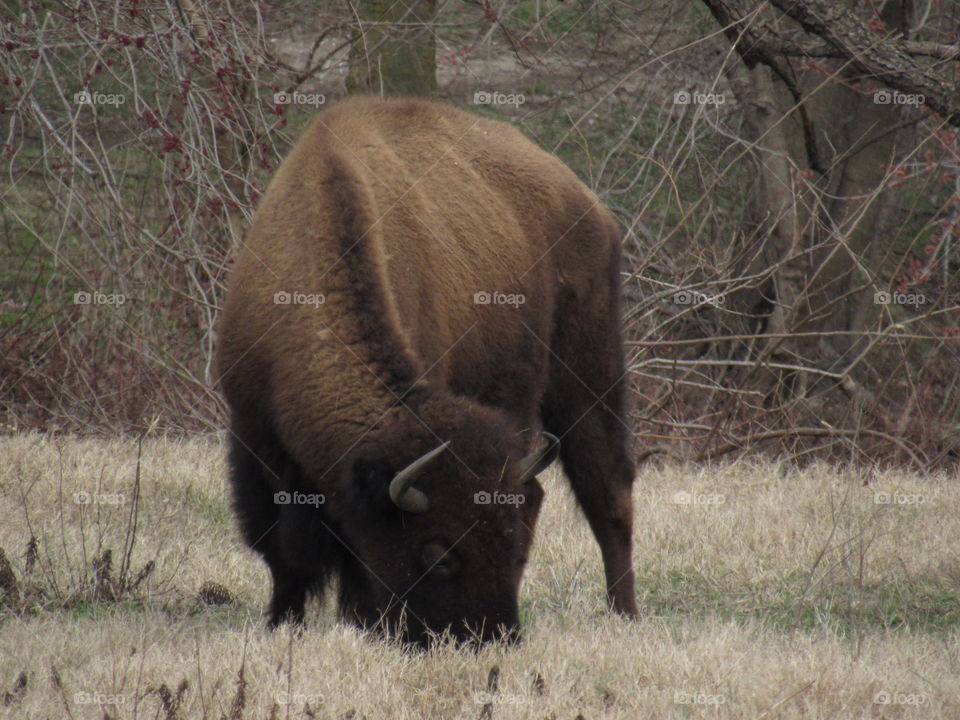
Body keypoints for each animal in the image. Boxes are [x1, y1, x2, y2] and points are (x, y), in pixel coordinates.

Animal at [215, 96, 637, 646]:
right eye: (437, 557)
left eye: (504, 543)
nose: (493, 635)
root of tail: (589, 205)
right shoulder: (254, 441)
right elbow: (283, 555)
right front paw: (282, 624)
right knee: (548, 491)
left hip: (587, 375)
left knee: (607, 492)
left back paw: (625, 614)